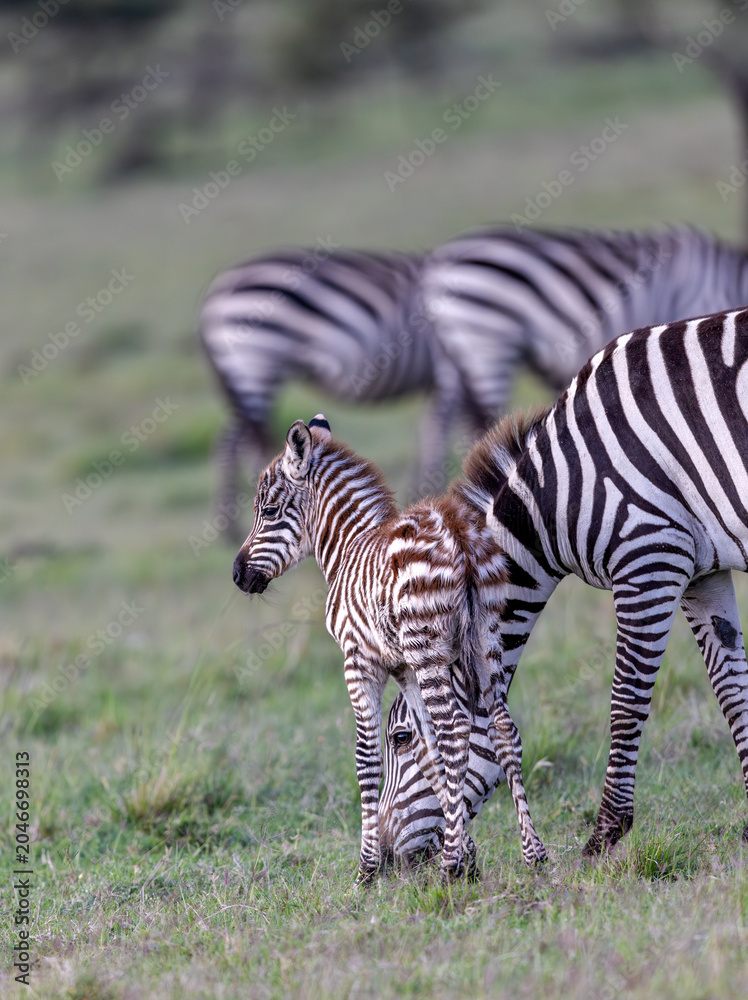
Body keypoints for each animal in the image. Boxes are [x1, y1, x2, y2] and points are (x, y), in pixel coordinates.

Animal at [231, 413, 547, 880]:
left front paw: (367, 868)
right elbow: (428, 753)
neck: (346, 547)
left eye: (268, 512)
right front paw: (464, 849)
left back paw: (448, 867)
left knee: (456, 733)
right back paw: (533, 854)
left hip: (430, 648)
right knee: (502, 731)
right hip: (487, 638)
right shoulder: (403, 668)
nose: (237, 576)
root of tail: (456, 528)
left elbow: (367, 759)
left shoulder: (359, 660)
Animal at [383, 306, 748, 861]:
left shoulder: (649, 555)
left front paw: (605, 833)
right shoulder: (702, 573)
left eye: (401, 739)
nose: (381, 859)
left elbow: (625, 701)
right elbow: (731, 689)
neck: (557, 494)